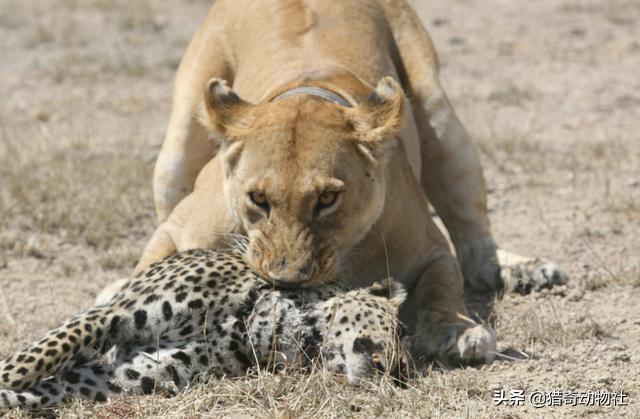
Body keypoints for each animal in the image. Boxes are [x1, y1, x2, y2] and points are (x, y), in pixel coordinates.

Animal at [0, 248, 408, 412]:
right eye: (395, 331)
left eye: (400, 371)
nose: (396, 370)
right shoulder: (113, 315)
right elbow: (32, 359)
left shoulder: (109, 380)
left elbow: (27, 393)